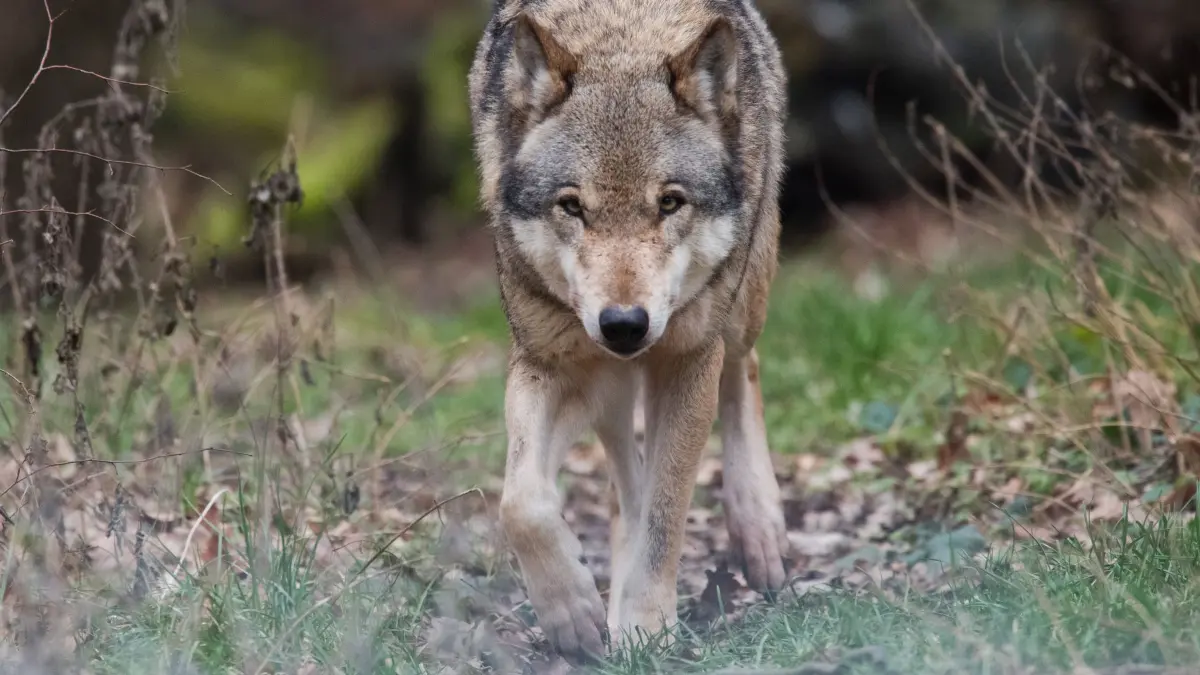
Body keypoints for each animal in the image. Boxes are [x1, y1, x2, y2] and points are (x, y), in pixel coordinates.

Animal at [468, 0, 789, 660]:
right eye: (572, 206)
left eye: (670, 203)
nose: (623, 325)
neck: (623, 35)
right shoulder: (551, 362)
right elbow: (521, 503)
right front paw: (573, 612)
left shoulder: (688, 360)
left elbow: (665, 517)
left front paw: (644, 624)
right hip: (608, 386)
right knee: (623, 474)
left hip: (741, 305)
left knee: (744, 369)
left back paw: (759, 529)